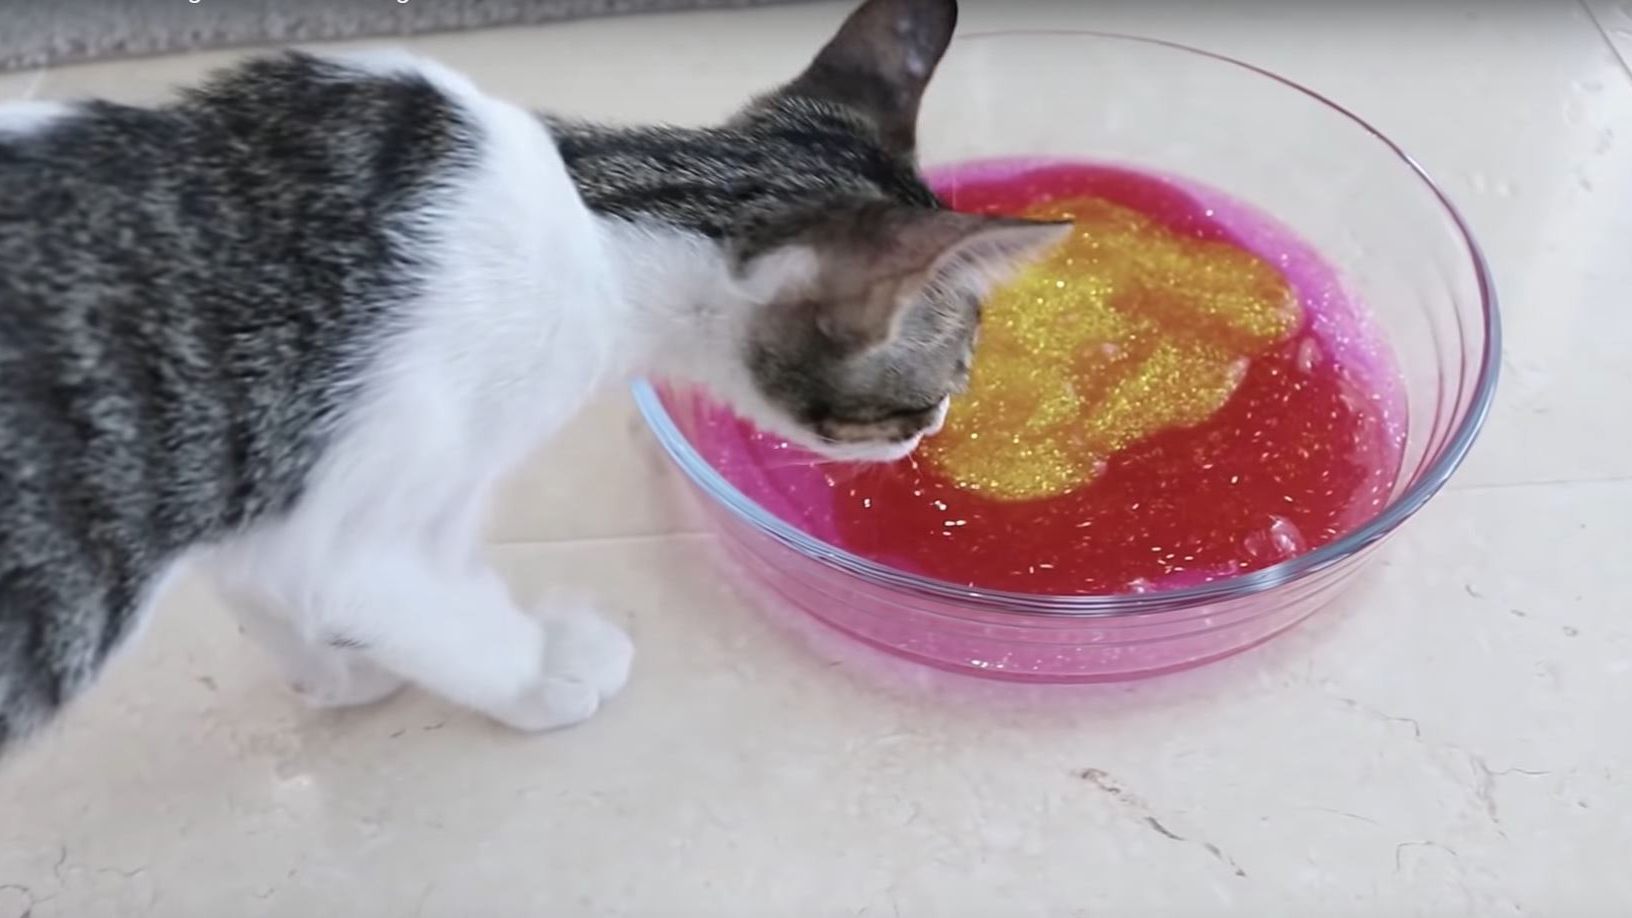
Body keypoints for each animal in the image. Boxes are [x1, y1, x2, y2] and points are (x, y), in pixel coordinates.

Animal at [0, 0, 1067, 750]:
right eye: (934, 393)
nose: (935, 431)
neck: (600, 216)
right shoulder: (359, 514)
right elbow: (426, 605)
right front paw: (540, 674)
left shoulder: (251, 508)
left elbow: (266, 595)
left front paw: (334, 674)